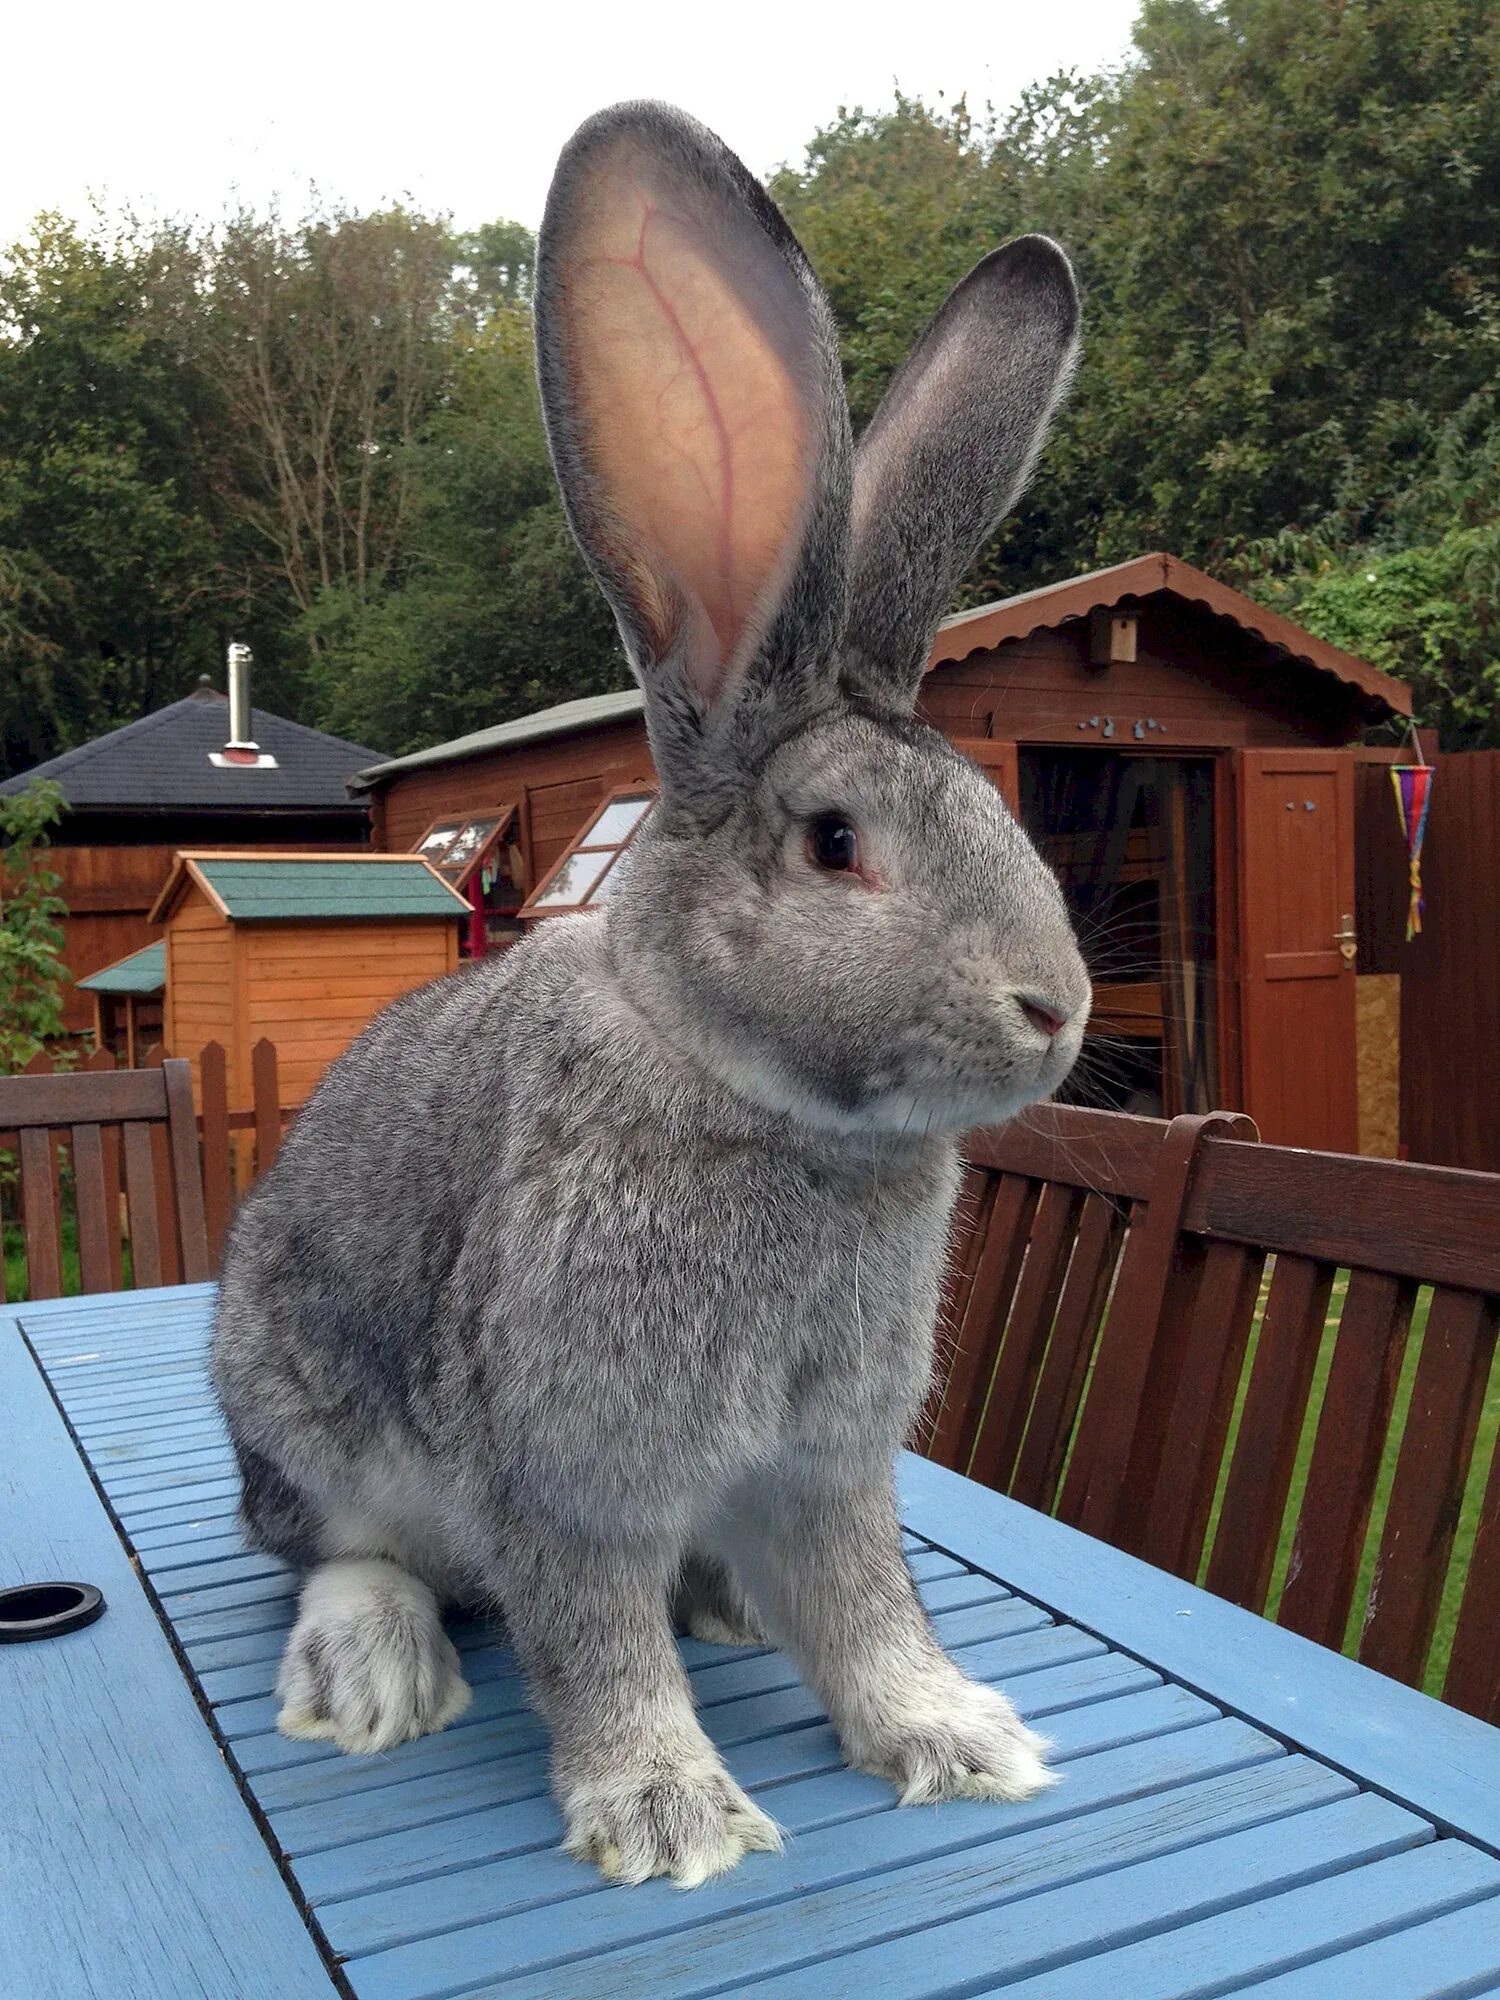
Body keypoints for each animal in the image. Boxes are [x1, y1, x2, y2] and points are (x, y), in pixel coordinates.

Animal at [212, 101, 1096, 1888]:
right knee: (332, 1548)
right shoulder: (569, 1469)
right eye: (834, 845)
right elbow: (594, 1643)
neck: (767, 1104)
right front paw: (673, 1819)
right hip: (296, 1404)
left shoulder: (831, 1463)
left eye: (996, 807)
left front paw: (962, 1742)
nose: (1058, 1011)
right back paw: (372, 1671)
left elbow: (866, 1608)